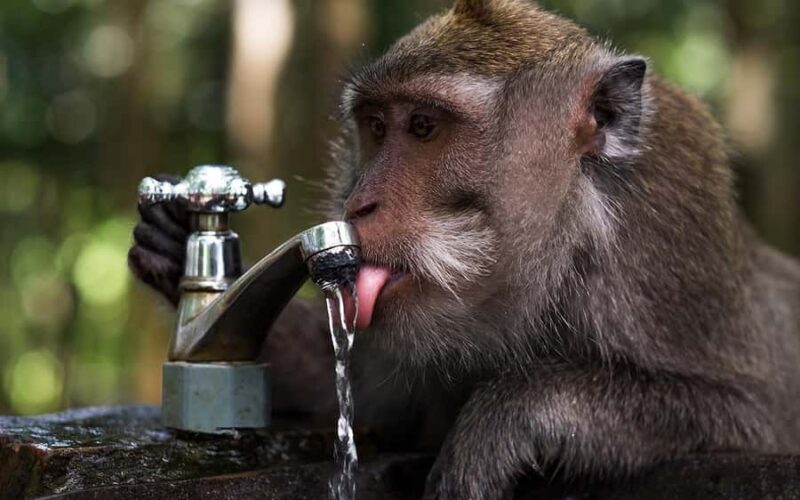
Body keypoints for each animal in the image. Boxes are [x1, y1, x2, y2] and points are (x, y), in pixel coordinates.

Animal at [129, 0, 800, 498]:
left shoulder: (666, 249)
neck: (563, 251)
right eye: (376, 127)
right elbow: (368, 394)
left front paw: (512, 414)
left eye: (424, 127)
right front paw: (174, 244)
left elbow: (745, 413)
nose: (359, 204)